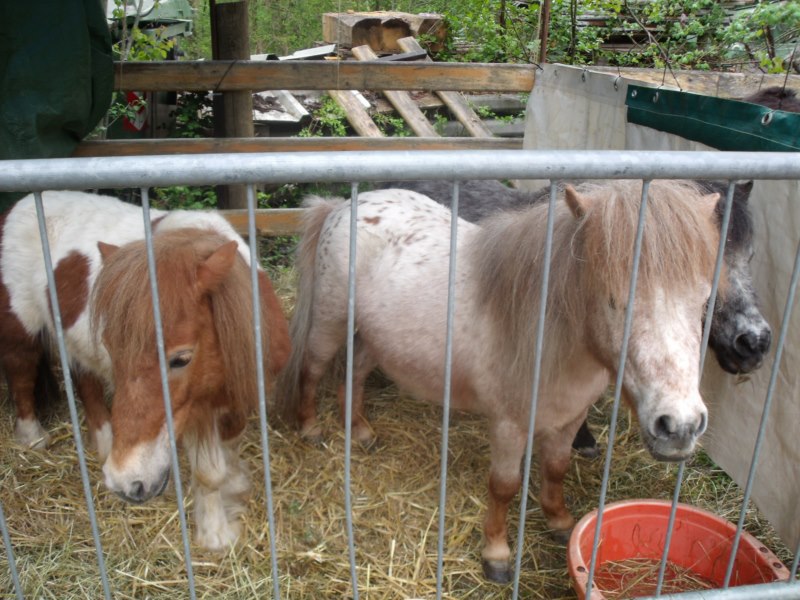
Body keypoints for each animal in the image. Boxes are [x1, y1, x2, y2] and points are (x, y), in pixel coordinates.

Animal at [0, 191, 290, 548]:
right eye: (113, 348)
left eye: (180, 359)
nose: (124, 481)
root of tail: (16, 208)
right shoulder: (196, 414)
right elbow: (209, 473)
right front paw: (216, 535)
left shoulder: (236, 399)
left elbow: (230, 449)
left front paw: (235, 487)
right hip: (21, 330)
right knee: (21, 373)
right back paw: (33, 438)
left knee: (85, 383)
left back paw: (104, 444)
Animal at [280, 179, 724, 580]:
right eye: (615, 300)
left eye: (703, 301)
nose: (679, 426)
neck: (548, 334)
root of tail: (343, 204)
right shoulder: (510, 426)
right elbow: (504, 486)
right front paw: (496, 554)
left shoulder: (568, 419)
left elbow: (556, 468)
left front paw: (559, 521)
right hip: (330, 321)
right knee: (312, 368)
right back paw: (310, 427)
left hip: (377, 337)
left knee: (353, 372)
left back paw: (360, 430)